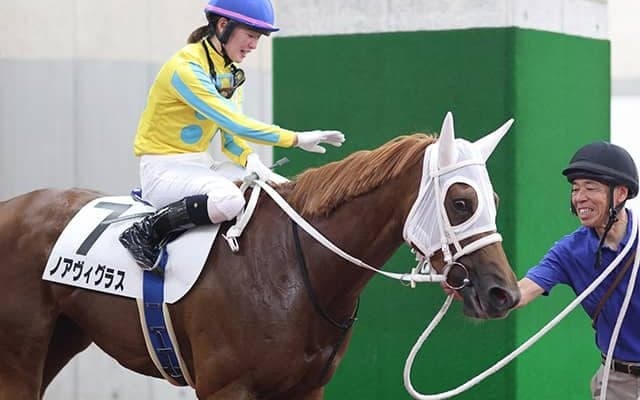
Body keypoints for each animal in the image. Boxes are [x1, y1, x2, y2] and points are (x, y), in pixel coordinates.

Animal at [0, 114, 520, 399]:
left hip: (62, 339)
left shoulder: (306, 389)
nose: (504, 294)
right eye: (461, 202)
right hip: (20, 354)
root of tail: (12, 207)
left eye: (494, 199)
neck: (292, 268)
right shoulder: (225, 388)